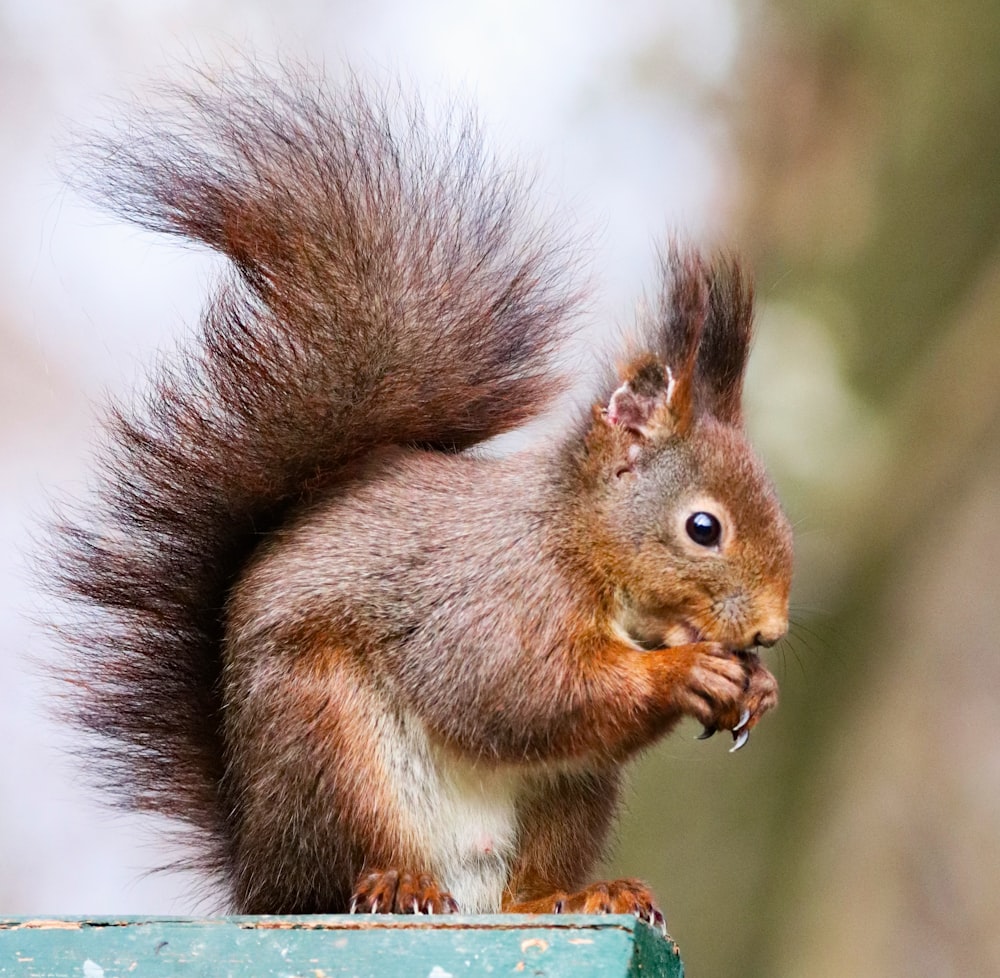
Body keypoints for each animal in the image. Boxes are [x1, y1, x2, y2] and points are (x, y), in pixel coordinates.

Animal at [52, 66, 788, 924]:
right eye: (704, 527)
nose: (770, 630)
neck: (577, 541)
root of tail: (256, 870)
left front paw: (757, 687)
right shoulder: (497, 600)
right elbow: (517, 693)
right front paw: (688, 673)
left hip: (570, 793)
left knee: (525, 887)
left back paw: (576, 893)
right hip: (330, 744)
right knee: (351, 865)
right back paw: (396, 884)